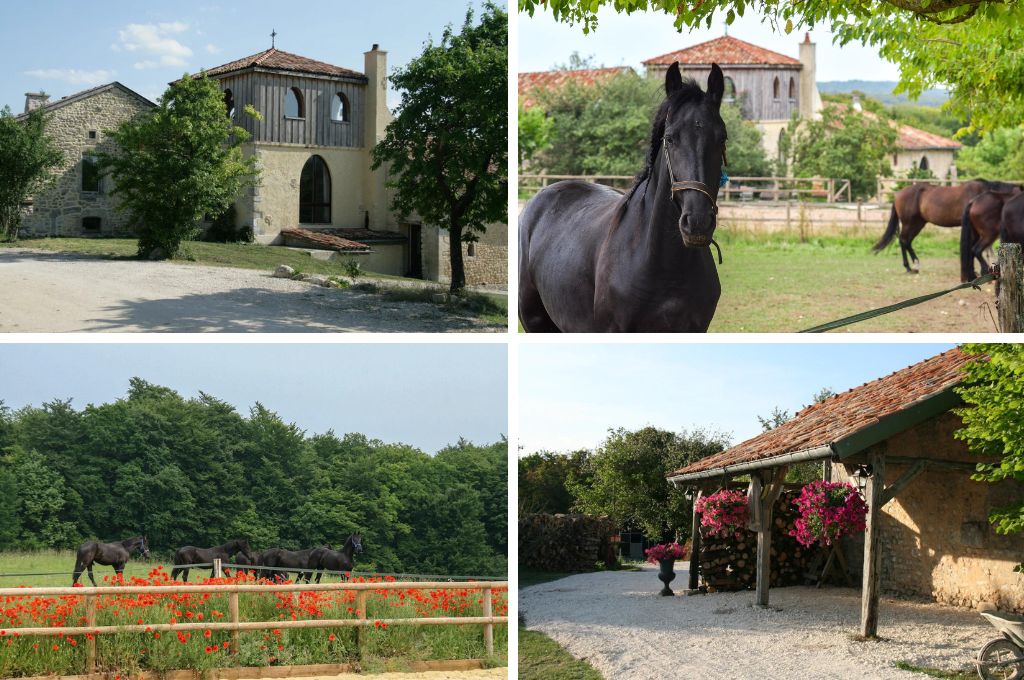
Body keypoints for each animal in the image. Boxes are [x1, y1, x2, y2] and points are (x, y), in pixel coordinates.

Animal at [872, 183, 1024, 276]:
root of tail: (898, 194)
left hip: (918, 224)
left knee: (906, 241)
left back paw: (913, 266)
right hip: (910, 223)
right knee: (904, 240)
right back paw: (911, 266)